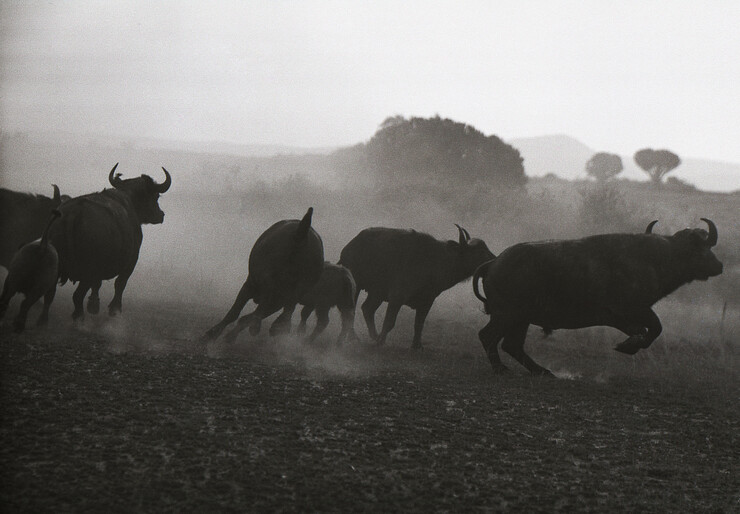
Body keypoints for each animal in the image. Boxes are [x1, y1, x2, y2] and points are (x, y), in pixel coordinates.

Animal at [205, 206, 326, 342]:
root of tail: (301, 235)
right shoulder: (278, 300)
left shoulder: (250, 285)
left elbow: (235, 313)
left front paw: (212, 335)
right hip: (292, 291)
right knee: (285, 309)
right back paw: (276, 326)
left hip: (265, 282)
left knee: (267, 303)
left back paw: (258, 326)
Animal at [340, 225, 492, 348]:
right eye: (479, 251)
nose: (493, 260)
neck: (437, 261)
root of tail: (348, 249)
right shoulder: (397, 297)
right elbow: (390, 321)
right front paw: (380, 342)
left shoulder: (427, 301)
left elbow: (419, 324)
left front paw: (417, 345)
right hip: (356, 287)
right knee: (351, 311)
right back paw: (353, 337)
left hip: (377, 293)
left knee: (367, 309)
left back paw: (373, 335)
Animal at [474, 218, 724, 374]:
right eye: (701, 246)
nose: (719, 266)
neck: (656, 258)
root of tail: (493, 263)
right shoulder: (633, 310)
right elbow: (654, 328)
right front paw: (627, 346)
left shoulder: (624, 317)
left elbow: (644, 330)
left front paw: (629, 344)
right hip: (507, 316)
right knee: (488, 337)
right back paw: (502, 369)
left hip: (520, 319)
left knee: (511, 345)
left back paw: (542, 371)